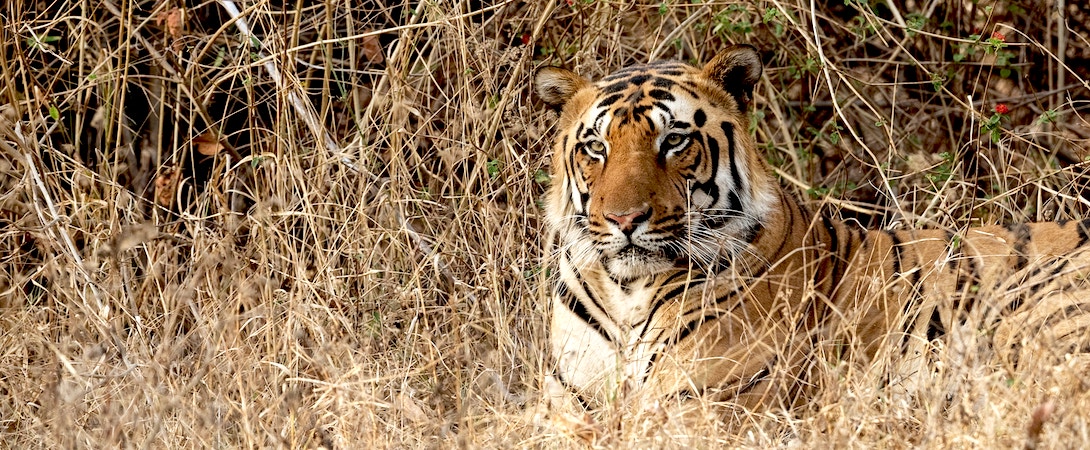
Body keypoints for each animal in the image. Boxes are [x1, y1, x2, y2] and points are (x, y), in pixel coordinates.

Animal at [533, 44, 1090, 413]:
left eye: (673, 141)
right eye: (596, 147)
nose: (625, 220)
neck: (626, 291)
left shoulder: (698, 404)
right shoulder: (566, 403)